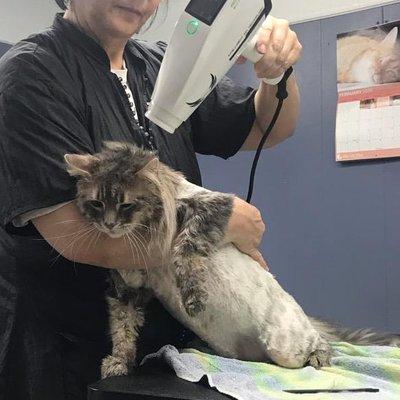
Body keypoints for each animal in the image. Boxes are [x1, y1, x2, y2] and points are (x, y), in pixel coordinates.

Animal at [64, 143, 398, 378]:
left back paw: (319, 355)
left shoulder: (215, 207)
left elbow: (184, 246)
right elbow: (122, 328)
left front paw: (193, 297)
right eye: (96, 203)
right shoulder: (130, 285)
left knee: (322, 342)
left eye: (126, 205)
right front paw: (119, 362)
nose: (109, 225)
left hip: (286, 345)